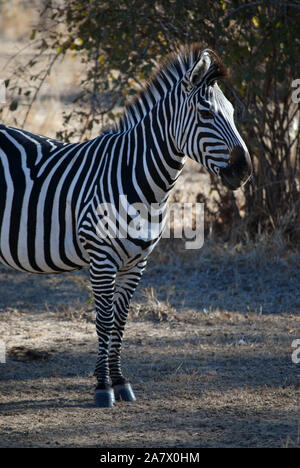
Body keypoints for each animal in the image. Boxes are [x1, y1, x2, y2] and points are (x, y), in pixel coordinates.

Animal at [0, 45, 251, 408]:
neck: (143, 183)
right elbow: (104, 321)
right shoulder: (102, 258)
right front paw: (103, 386)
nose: (244, 170)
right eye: (205, 113)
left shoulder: (137, 262)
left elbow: (120, 321)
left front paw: (119, 381)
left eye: (232, 112)